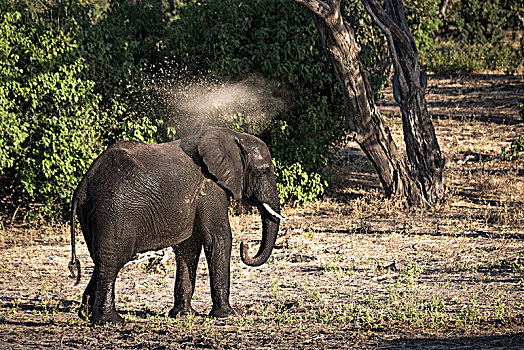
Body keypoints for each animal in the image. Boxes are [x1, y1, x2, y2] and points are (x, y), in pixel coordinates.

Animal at [68, 128, 286, 326]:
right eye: (264, 170)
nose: (245, 246)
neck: (233, 137)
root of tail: (83, 187)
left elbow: (188, 246)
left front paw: (184, 315)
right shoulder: (211, 187)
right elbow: (218, 239)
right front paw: (226, 315)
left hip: (93, 214)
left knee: (100, 259)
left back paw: (85, 315)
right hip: (114, 211)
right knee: (112, 260)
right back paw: (110, 322)